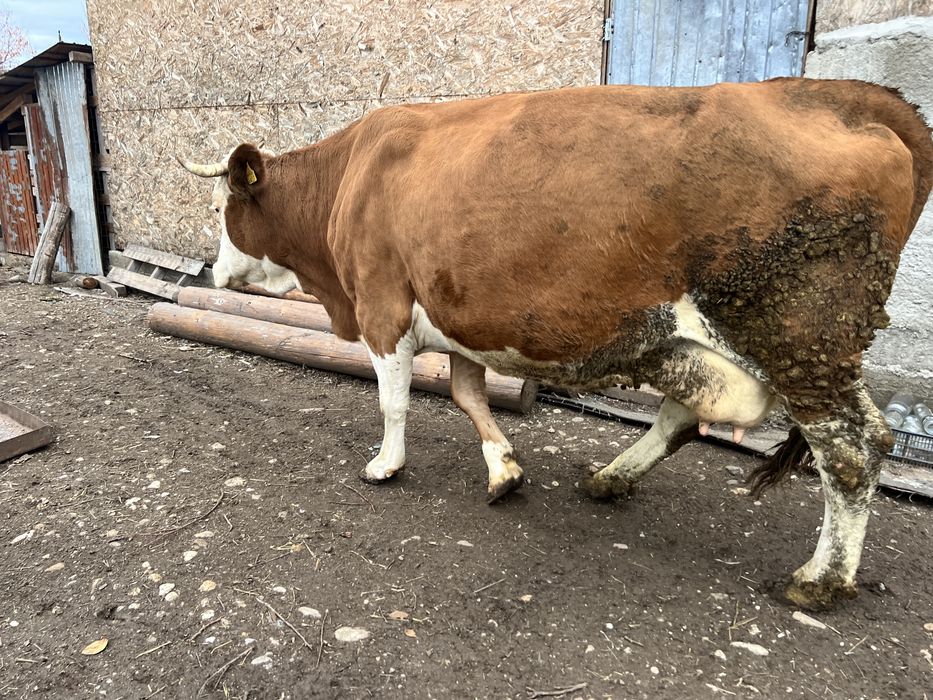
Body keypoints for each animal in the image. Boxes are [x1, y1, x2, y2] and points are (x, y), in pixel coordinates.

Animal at [181, 78, 933, 610]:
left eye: (221, 209)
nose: (209, 270)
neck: (348, 179)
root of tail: (836, 93)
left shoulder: (382, 305)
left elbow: (394, 400)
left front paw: (386, 465)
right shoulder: (463, 318)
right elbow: (466, 394)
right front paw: (503, 469)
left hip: (799, 336)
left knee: (852, 448)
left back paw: (820, 579)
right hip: (729, 342)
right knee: (686, 413)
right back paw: (611, 477)